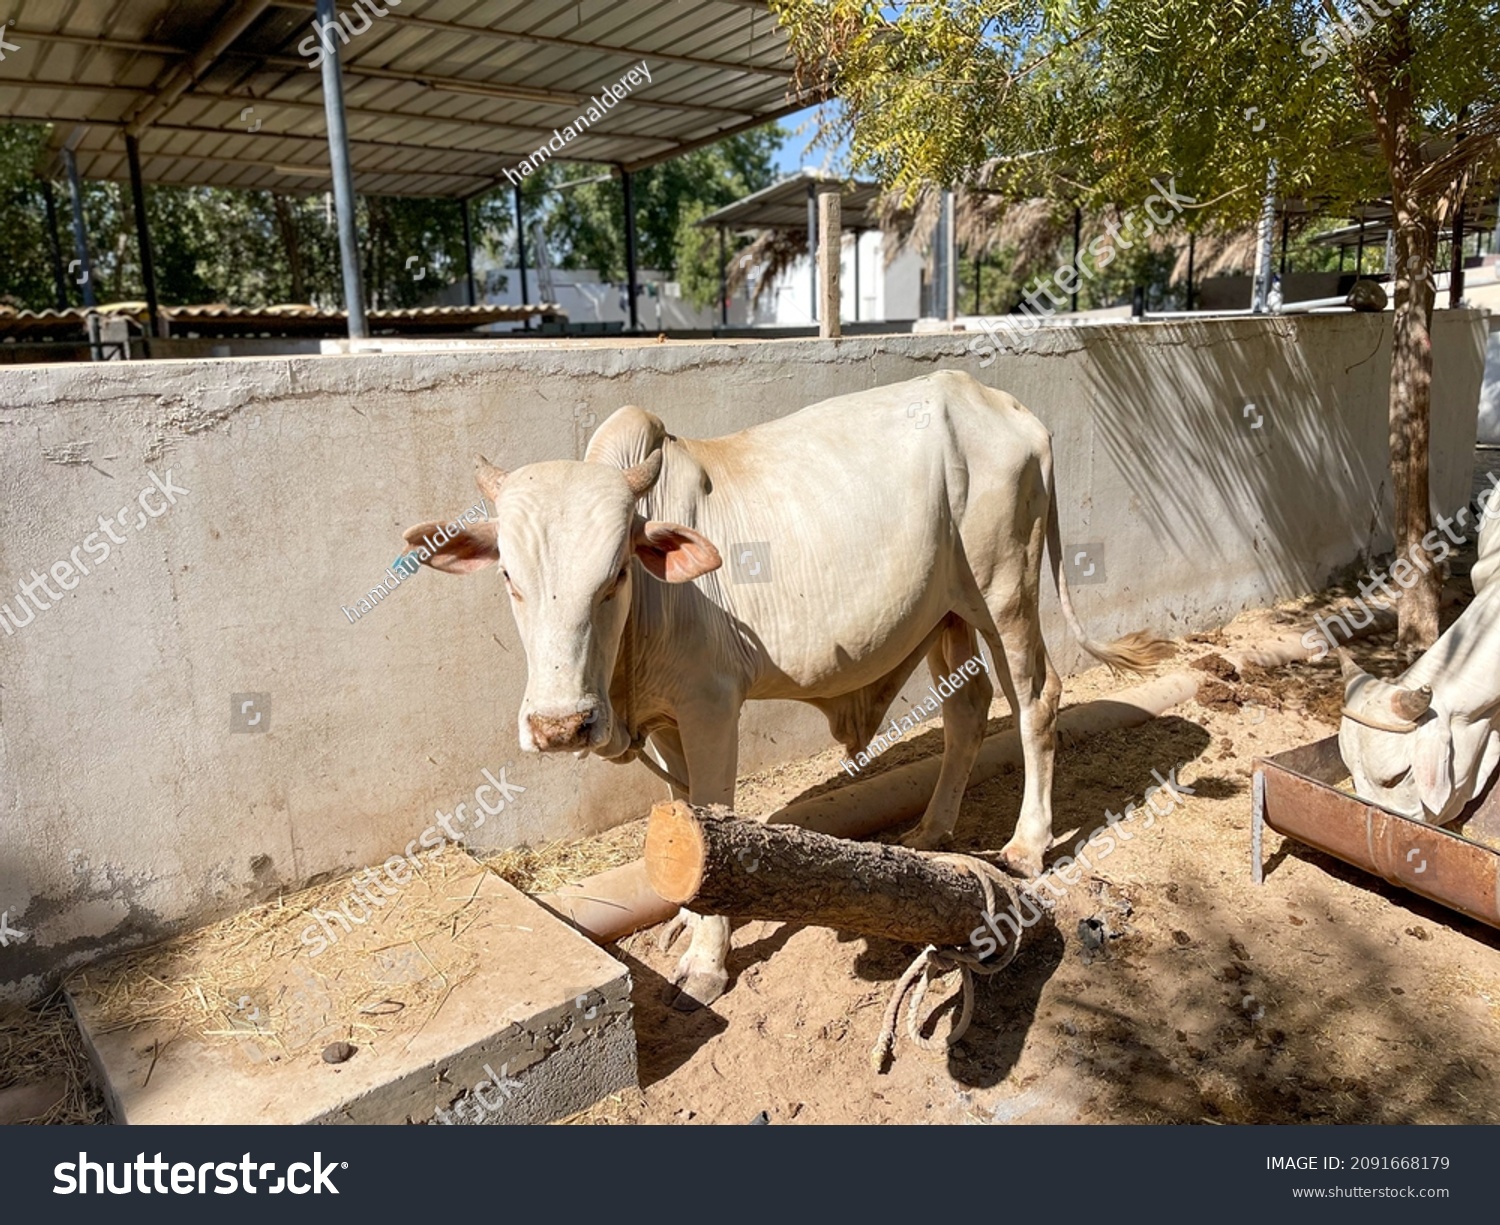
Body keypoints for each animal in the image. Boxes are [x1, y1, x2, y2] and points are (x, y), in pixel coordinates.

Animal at [408, 370, 1170, 1001]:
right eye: (510, 577)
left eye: (616, 574)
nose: (560, 726)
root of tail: (1013, 411)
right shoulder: (668, 718)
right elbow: (684, 816)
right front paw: (683, 917)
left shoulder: (712, 705)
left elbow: (713, 816)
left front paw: (706, 961)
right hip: (948, 612)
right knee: (966, 710)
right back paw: (932, 829)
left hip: (1005, 590)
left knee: (1036, 698)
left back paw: (1026, 843)